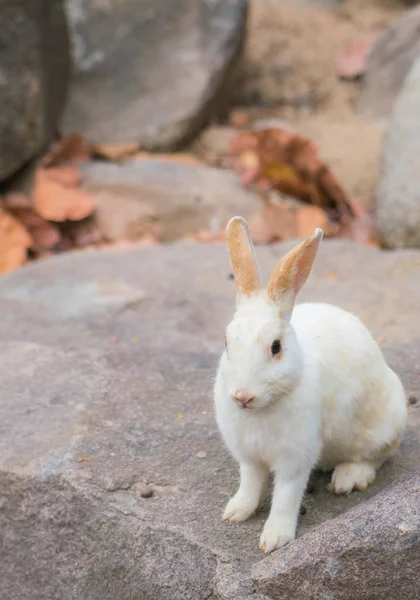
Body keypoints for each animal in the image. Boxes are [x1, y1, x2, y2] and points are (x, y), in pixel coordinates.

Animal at [213, 216, 406, 552]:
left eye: (276, 347)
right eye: (227, 342)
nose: (242, 396)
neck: (264, 408)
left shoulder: (296, 458)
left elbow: (286, 496)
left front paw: (275, 539)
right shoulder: (249, 457)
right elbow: (250, 483)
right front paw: (236, 512)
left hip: (383, 426)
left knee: (377, 456)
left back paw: (347, 479)